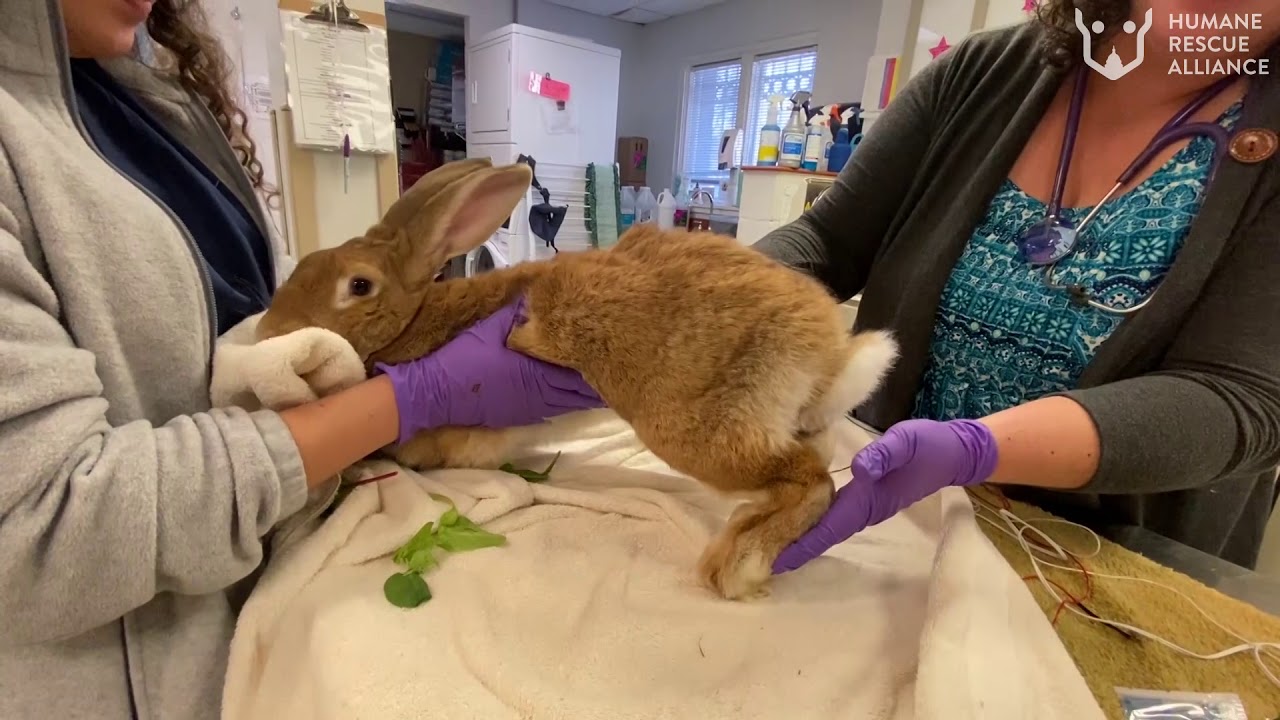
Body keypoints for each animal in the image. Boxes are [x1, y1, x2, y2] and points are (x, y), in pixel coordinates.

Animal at [261, 158, 896, 599]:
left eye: (357, 286)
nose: (271, 328)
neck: (414, 320)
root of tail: (829, 351)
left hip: (696, 431)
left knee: (813, 482)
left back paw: (741, 563)